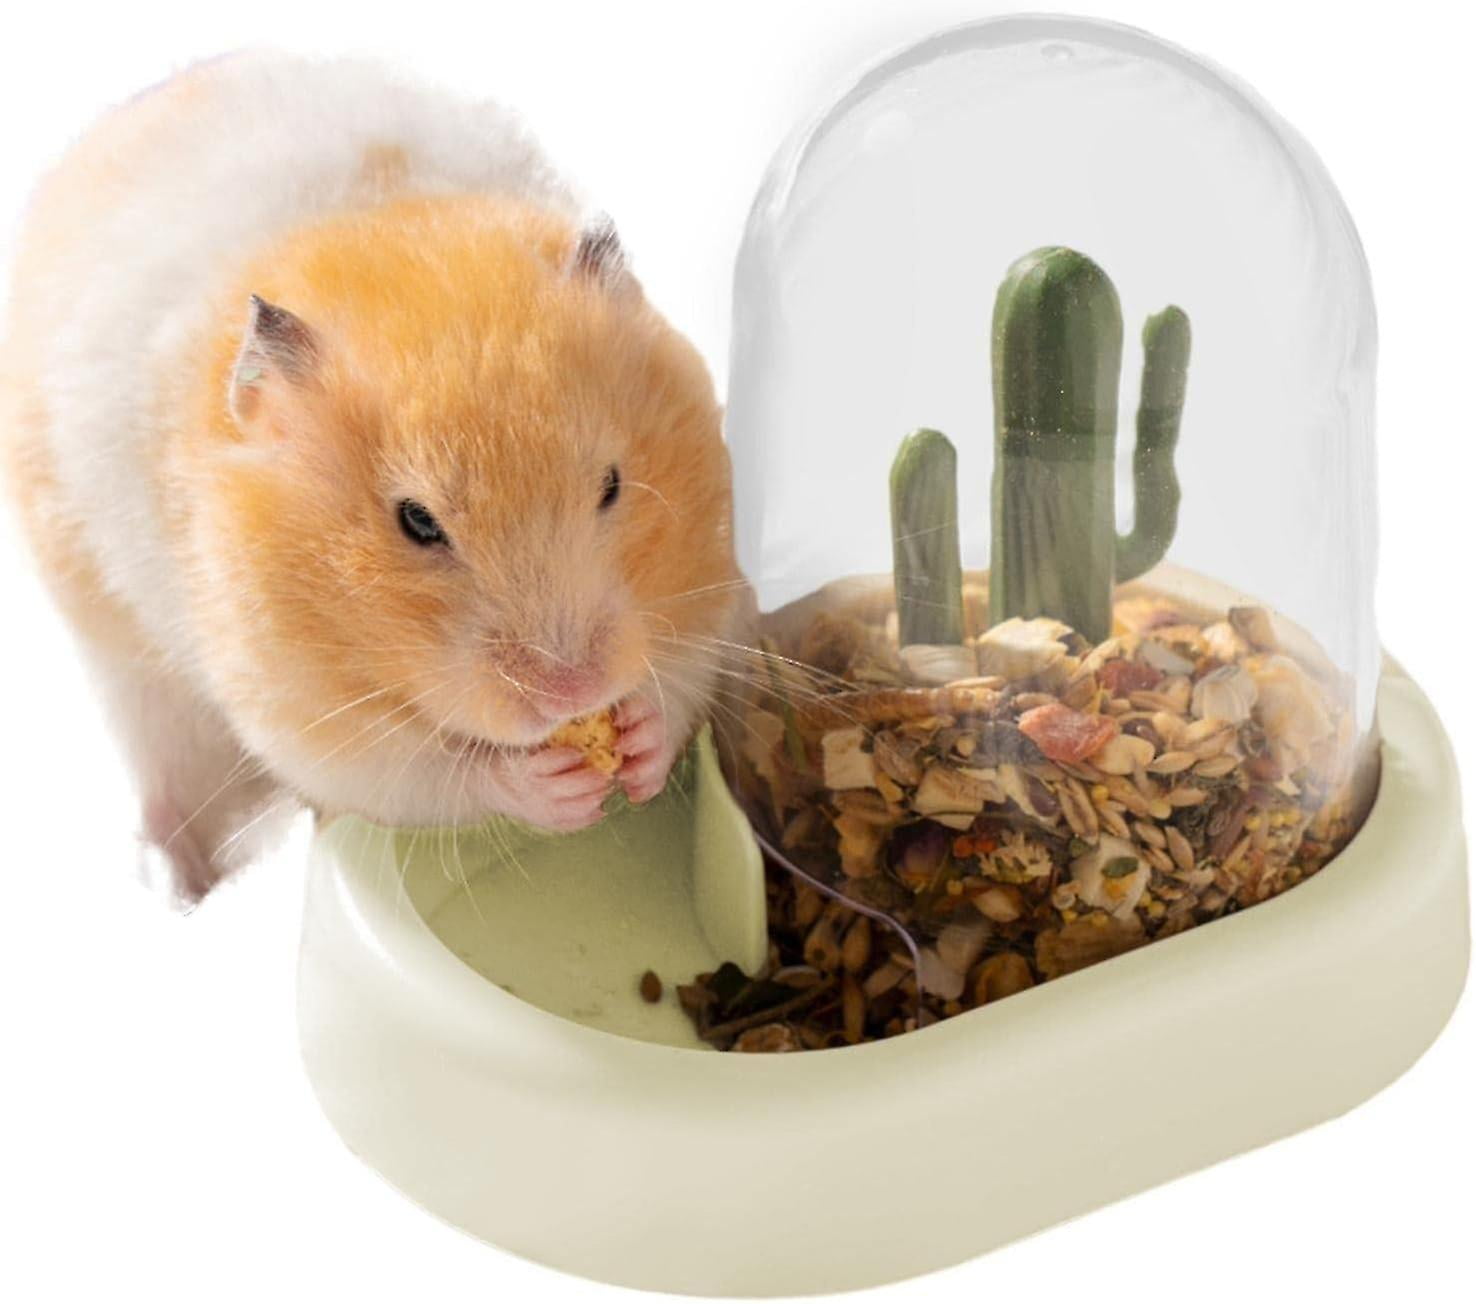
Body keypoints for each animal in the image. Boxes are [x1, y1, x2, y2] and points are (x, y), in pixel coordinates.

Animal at [0, 53, 742, 901]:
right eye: (416, 522)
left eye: (614, 486)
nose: (573, 692)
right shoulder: (308, 719)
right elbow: (433, 774)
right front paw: (552, 787)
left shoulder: (709, 594)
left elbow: (678, 680)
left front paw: (641, 741)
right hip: (127, 675)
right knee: (169, 781)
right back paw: (179, 886)